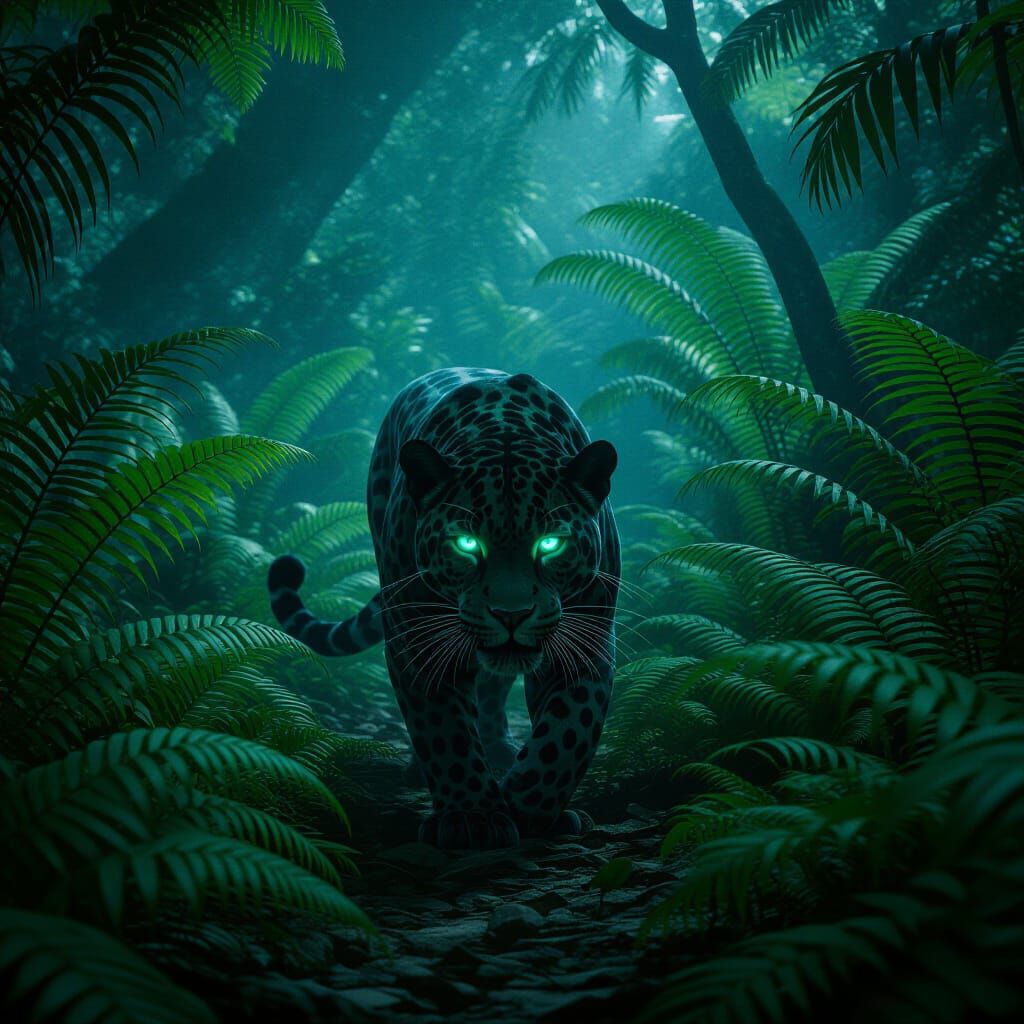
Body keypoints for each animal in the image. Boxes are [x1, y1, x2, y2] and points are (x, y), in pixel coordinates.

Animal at [268, 367, 619, 850]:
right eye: (466, 544)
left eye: (550, 544)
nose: (511, 614)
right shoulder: (418, 642)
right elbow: (444, 731)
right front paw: (473, 817)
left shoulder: (587, 643)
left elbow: (566, 735)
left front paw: (531, 809)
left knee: (493, 688)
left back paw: (500, 751)